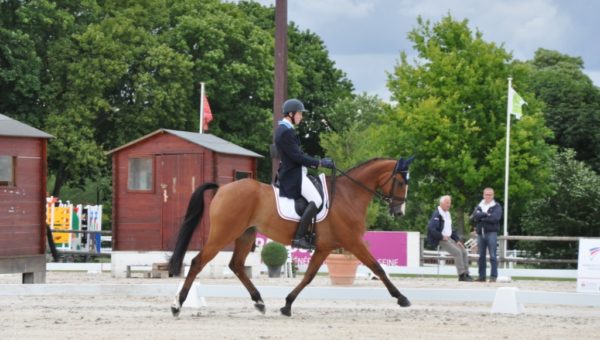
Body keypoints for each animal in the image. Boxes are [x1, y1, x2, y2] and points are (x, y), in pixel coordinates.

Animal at [168, 157, 412, 316]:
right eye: (401, 182)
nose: (400, 212)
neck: (348, 195)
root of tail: (222, 188)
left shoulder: (324, 247)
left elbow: (308, 276)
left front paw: (287, 305)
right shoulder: (353, 242)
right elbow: (378, 268)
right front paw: (401, 298)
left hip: (245, 235)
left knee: (236, 265)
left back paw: (259, 301)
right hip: (223, 233)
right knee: (198, 262)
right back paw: (177, 305)